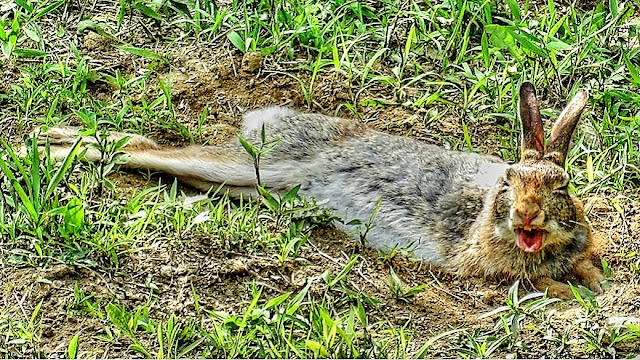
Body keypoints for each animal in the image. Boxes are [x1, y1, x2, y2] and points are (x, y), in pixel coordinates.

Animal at [37, 82, 604, 298]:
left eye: (562, 186)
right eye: (509, 180)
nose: (526, 216)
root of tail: (263, 120)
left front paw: (595, 282)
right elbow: (541, 284)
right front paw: (577, 292)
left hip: (252, 183)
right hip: (260, 163)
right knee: (143, 147)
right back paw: (48, 147)